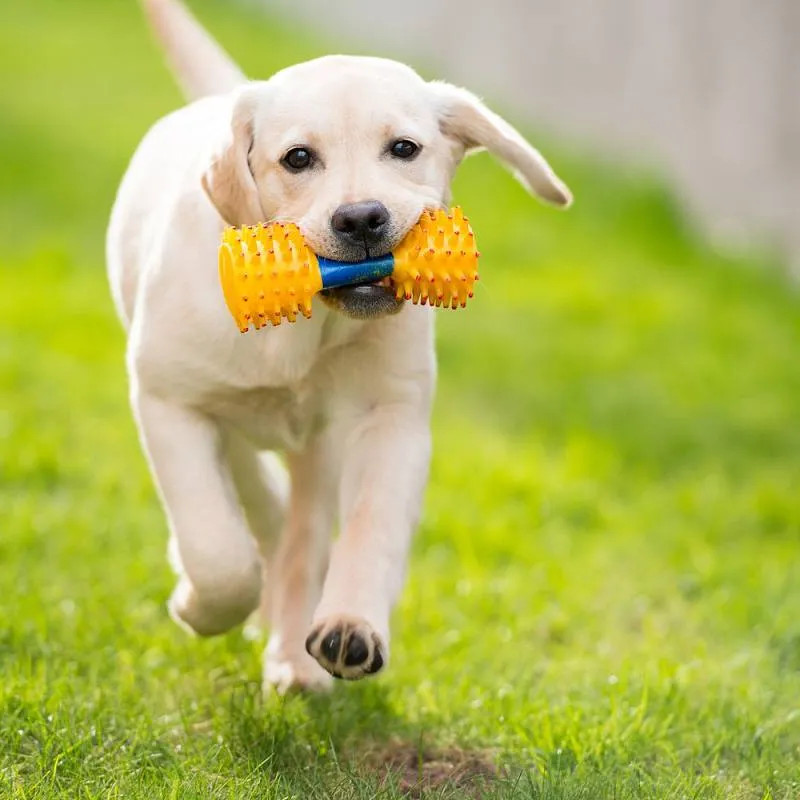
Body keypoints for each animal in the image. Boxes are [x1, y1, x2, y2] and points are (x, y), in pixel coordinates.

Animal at [108, 0, 568, 692]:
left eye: (404, 149)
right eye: (298, 158)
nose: (362, 219)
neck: (307, 324)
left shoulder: (393, 418)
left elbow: (372, 528)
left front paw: (351, 627)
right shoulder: (167, 400)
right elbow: (217, 549)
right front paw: (197, 604)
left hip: (320, 446)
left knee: (301, 533)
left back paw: (295, 657)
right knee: (254, 497)